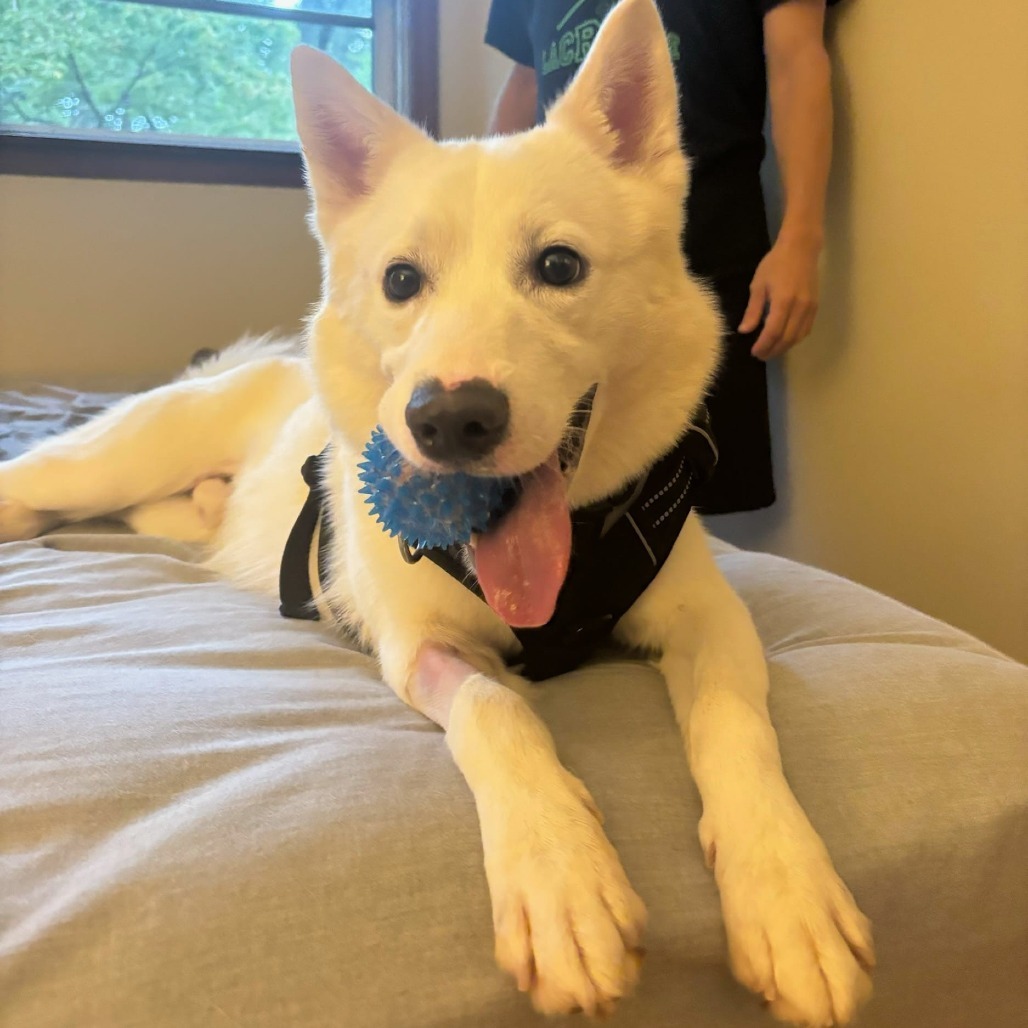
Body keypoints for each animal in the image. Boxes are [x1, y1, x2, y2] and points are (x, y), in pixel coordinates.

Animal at [0, 2, 871, 1019]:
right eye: (401, 281)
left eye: (560, 265)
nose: (450, 420)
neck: (569, 557)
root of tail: (261, 367)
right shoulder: (419, 648)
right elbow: (499, 711)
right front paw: (562, 876)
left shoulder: (713, 621)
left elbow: (738, 724)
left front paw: (786, 892)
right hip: (103, 466)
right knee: (37, 483)